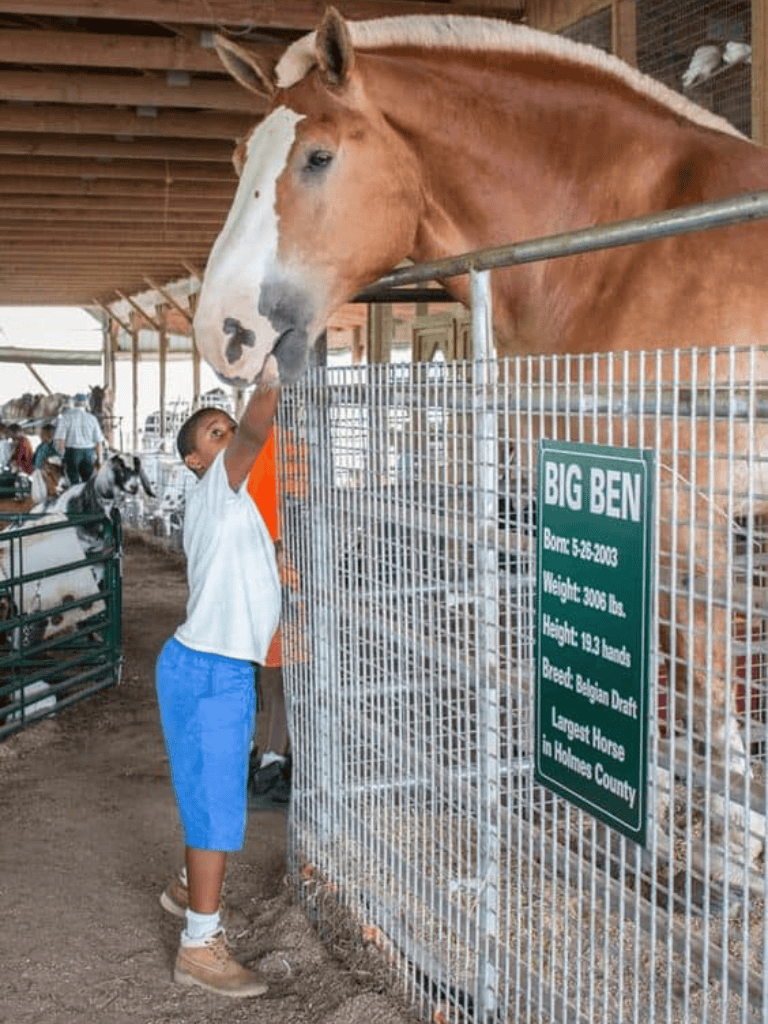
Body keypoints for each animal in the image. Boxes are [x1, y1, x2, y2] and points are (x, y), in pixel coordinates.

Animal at [193, 8, 768, 882]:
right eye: (236, 160)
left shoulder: (686, 511)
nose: (219, 329)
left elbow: (702, 683)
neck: (631, 247)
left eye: (319, 156)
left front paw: (731, 847)